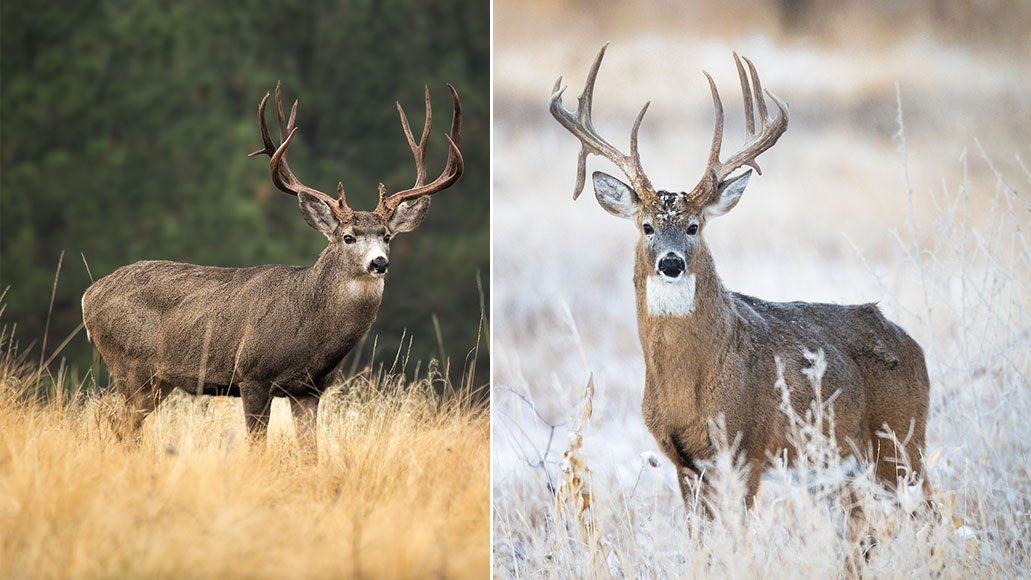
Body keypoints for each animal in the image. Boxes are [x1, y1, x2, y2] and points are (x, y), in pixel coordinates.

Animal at [82, 81, 463, 449]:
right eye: (348, 237)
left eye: (386, 236)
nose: (379, 262)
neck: (311, 329)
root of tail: (89, 296)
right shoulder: (252, 374)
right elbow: (257, 445)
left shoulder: (309, 389)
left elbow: (310, 452)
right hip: (129, 364)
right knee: (120, 421)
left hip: (157, 380)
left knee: (125, 424)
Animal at [550, 45, 931, 509]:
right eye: (647, 227)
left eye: (694, 226)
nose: (672, 263)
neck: (688, 384)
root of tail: (913, 347)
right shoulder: (683, 460)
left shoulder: (747, 445)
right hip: (837, 469)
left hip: (900, 442)